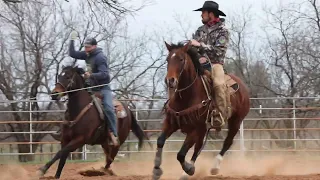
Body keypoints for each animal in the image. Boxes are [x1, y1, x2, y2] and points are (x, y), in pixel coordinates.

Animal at [152, 41, 250, 180]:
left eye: (181, 59)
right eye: (167, 59)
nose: (170, 80)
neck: (186, 96)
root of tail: (242, 86)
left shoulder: (195, 129)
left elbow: (180, 154)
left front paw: (189, 169)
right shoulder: (171, 123)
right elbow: (160, 141)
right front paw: (156, 170)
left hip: (236, 121)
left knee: (227, 142)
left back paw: (214, 168)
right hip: (205, 129)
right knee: (198, 147)